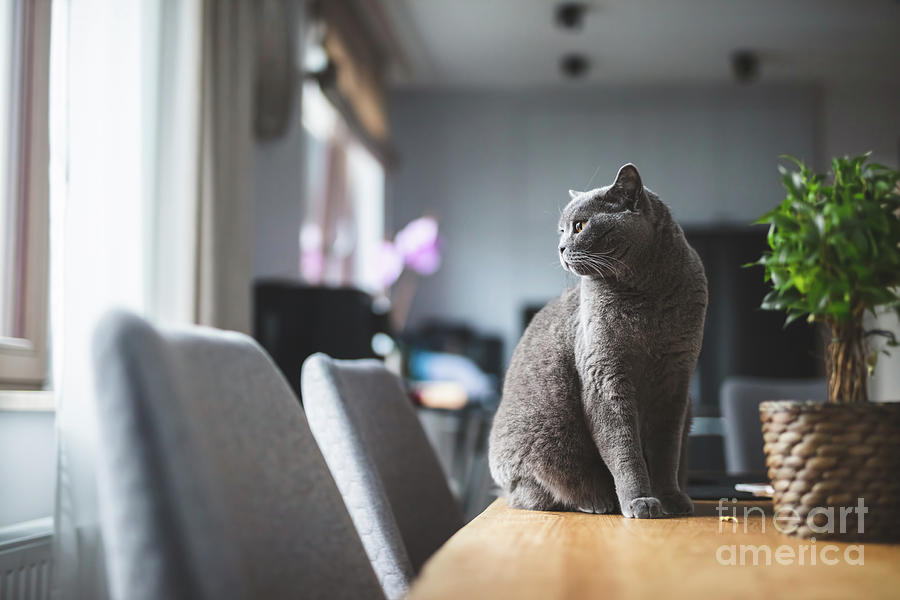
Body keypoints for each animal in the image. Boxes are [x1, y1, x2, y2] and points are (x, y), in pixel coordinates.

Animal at [488, 163, 708, 516]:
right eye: (561, 231)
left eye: (580, 226)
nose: (561, 248)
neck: (647, 293)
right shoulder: (604, 376)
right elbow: (624, 449)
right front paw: (639, 502)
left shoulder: (676, 381)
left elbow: (666, 451)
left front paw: (671, 499)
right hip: (542, 439)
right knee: (535, 495)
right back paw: (596, 501)